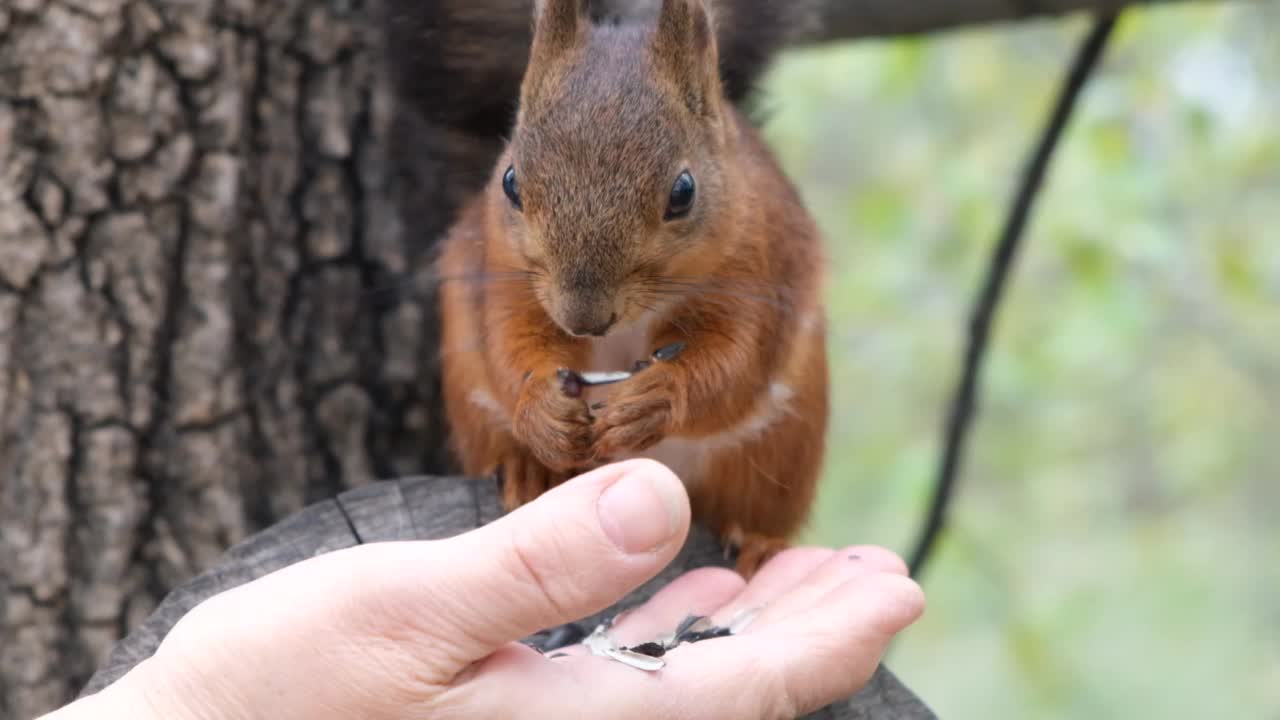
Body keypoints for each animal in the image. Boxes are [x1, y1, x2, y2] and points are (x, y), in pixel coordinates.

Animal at [437, 0, 829, 576]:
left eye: (683, 192)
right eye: (510, 182)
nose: (584, 318)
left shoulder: (756, 272)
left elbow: (734, 363)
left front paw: (659, 397)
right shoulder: (502, 273)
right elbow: (508, 345)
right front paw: (542, 406)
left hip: (779, 448)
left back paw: (759, 546)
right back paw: (532, 469)